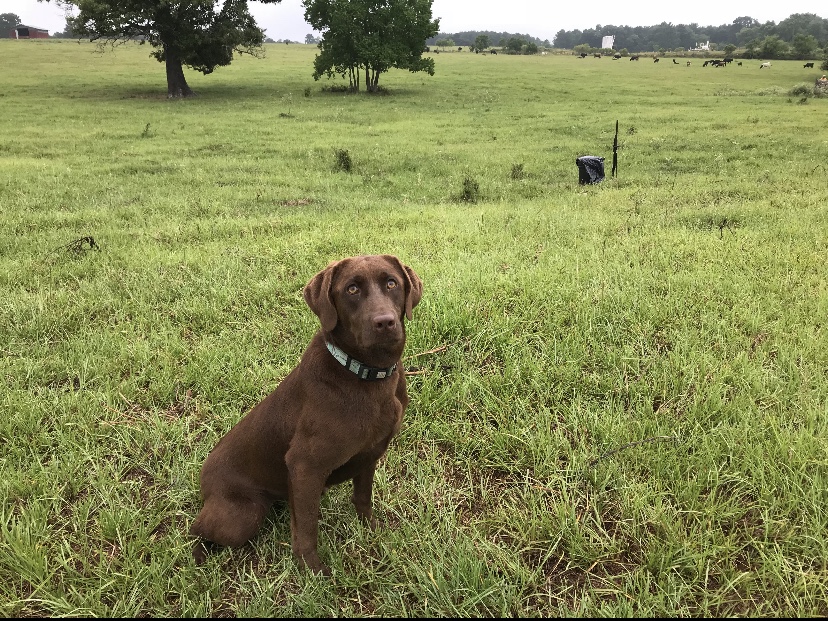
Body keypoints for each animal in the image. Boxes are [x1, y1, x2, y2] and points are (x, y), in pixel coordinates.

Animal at [191, 254, 424, 572]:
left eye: (392, 283)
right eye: (351, 289)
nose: (385, 322)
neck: (366, 376)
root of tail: (204, 475)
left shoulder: (371, 453)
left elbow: (363, 497)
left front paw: (371, 529)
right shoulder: (305, 466)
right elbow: (306, 528)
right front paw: (312, 571)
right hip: (243, 516)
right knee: (197, 528)